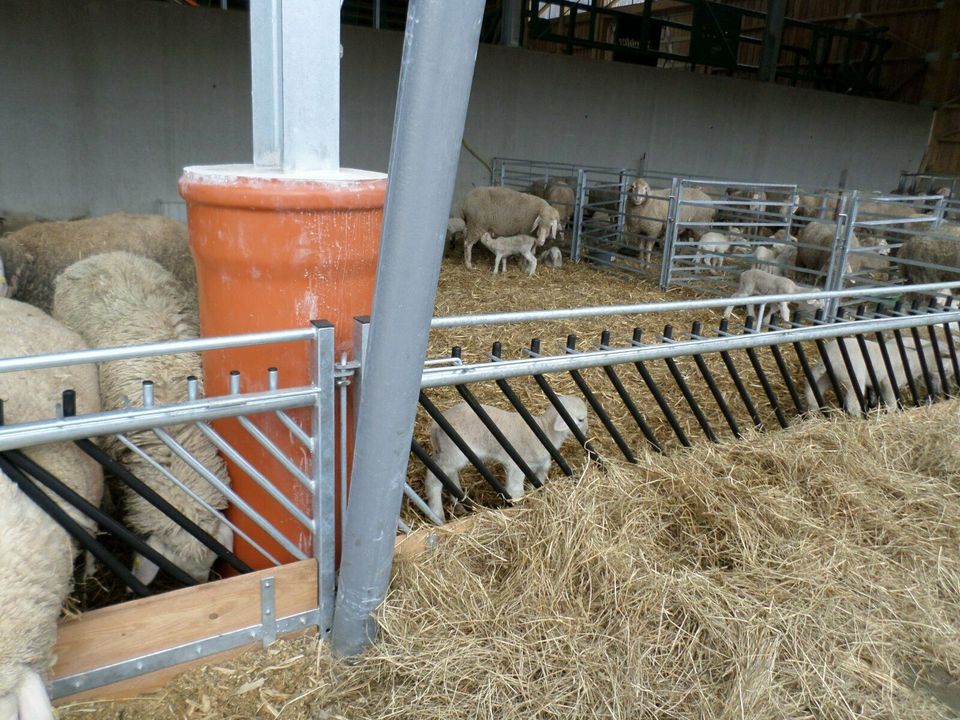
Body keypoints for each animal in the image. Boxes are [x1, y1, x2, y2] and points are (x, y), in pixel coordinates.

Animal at [426, 396, 588, 520]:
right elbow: (515, 487)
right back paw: (437, 513)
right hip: (453, 452)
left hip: (449, 452)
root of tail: (435, 425)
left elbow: (540, 477)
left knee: (450, 475)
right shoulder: (519, 463)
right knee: (433, 479)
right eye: (581, 419)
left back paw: (459, 503)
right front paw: (518, 504)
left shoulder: (539, 464)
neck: (545, 430)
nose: (586, 431)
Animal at [804, 336, 952, 416]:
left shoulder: (880, 383)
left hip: (827, 376)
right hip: (853, 376)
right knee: (852, 404)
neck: (914, 360)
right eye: (946, 370)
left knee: (812, 392)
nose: (939, 392)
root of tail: (828, 357)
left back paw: (813, 412)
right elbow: (891, 402)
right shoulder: (888, 381)